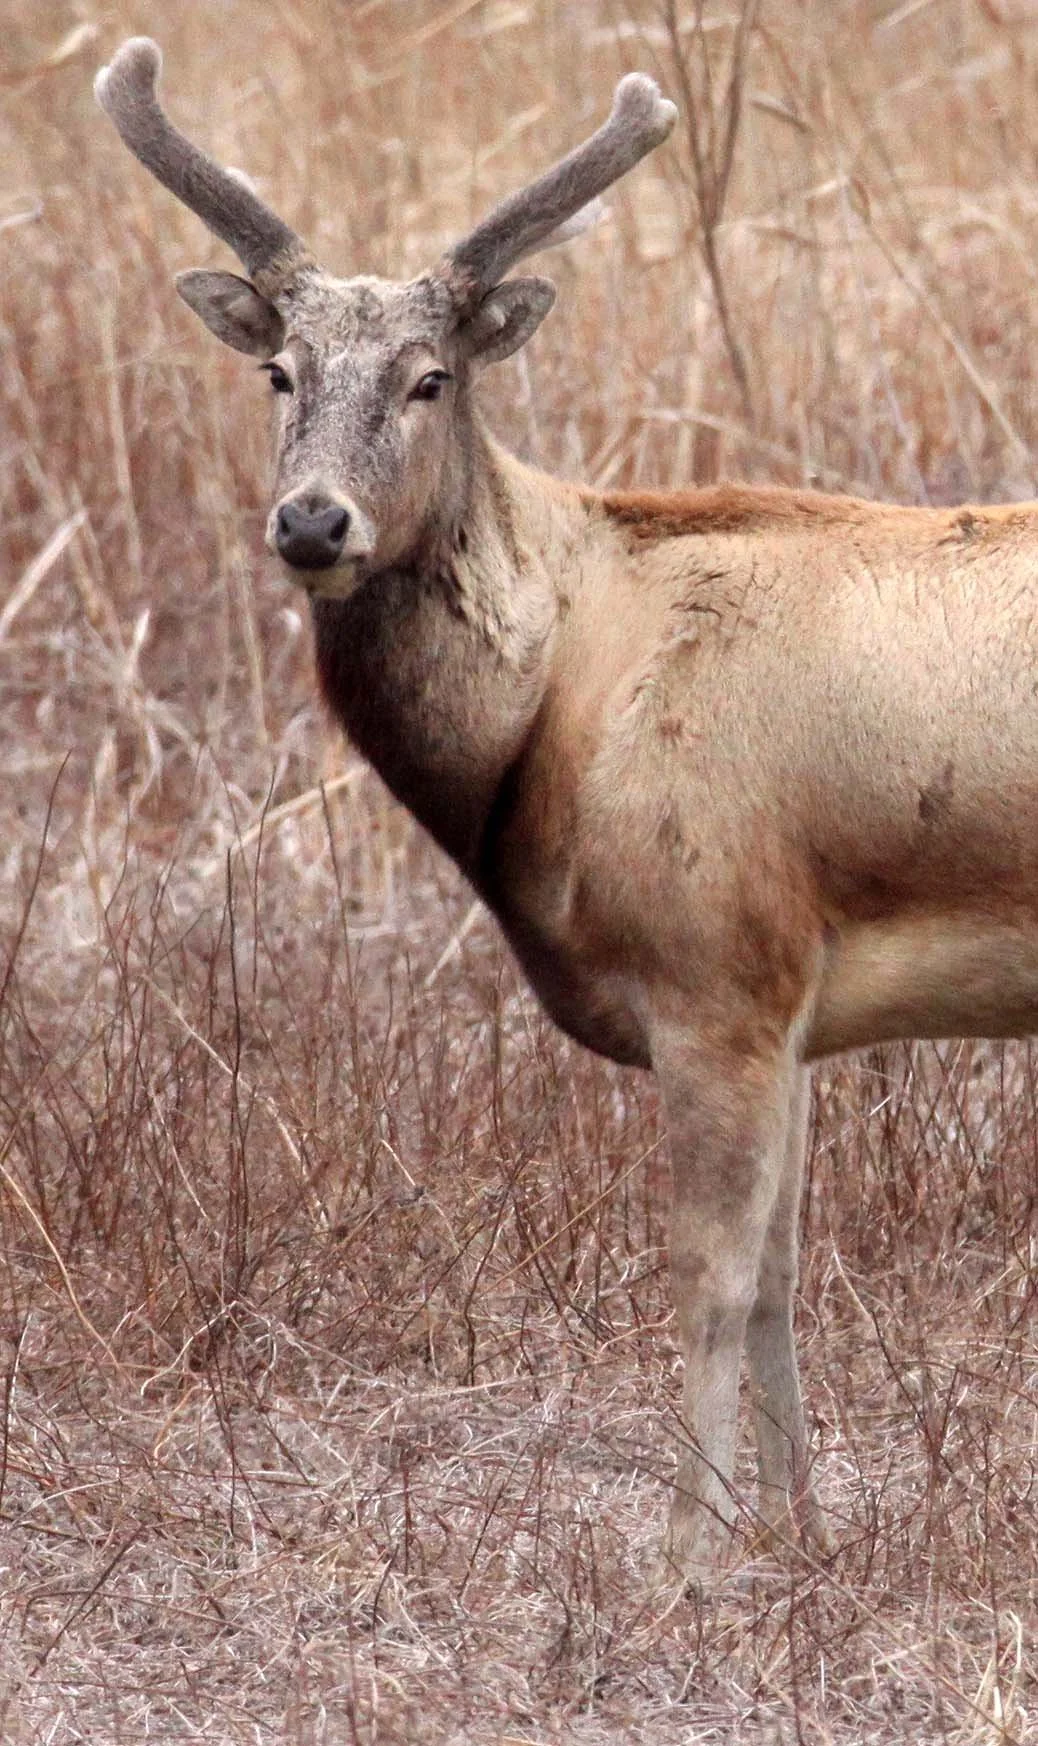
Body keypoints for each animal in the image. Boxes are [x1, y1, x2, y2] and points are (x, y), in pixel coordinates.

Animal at [95, 36, 1038, 1584]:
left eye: (429, 378)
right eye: (281, 370)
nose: (312, 522)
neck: (559, 701)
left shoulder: (715, 961)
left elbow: (707, 1276)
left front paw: (682, 1557)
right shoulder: (790, 1002)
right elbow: (780, 1275)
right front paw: (801, 1532)